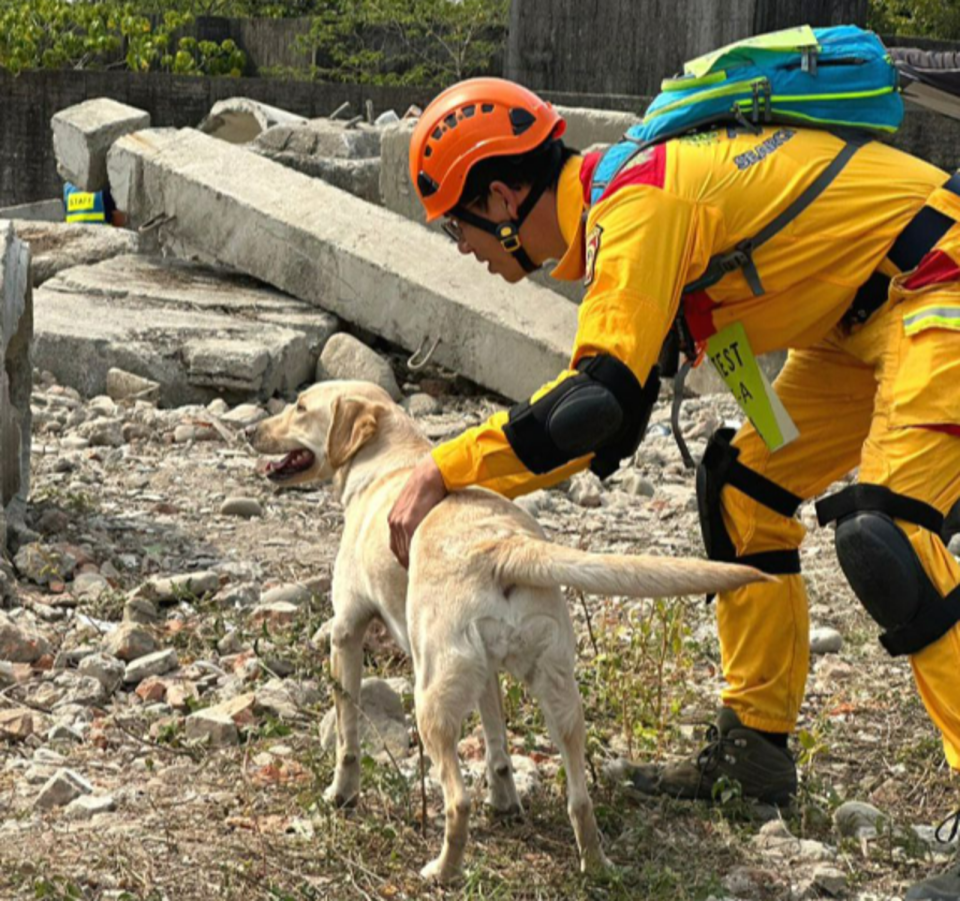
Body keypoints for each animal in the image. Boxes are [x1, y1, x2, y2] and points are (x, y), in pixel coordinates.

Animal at [251, 378, 768, 880]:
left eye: (301, 407)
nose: (250, 430)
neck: (390, 459)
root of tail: (501, 545)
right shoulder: (487, 674)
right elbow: (497, 741)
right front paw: (505, 800)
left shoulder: (346, 631)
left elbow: (347, 738)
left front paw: (341, 794)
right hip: (560, 697)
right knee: (579, 799)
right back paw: (596, 866)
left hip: (431, 698)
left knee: (456, 800)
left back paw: (443, 870)